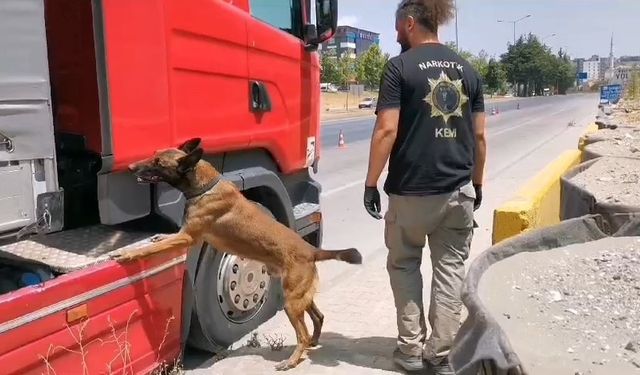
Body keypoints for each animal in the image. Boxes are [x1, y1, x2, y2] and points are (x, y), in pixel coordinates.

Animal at [115, 137, 362, 370]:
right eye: (154, 155)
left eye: (158, 162)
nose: (131, 167)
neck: (205, 185)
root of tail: (311, 250)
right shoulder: (184, 234)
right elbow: (163, 240)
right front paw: (157, 238)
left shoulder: (188, 237)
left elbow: (150, 248)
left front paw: (129, 255)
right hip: (300, 296)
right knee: (318, 317)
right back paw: (313, 342)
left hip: (291, 301)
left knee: (302, 333)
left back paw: (291, 361)